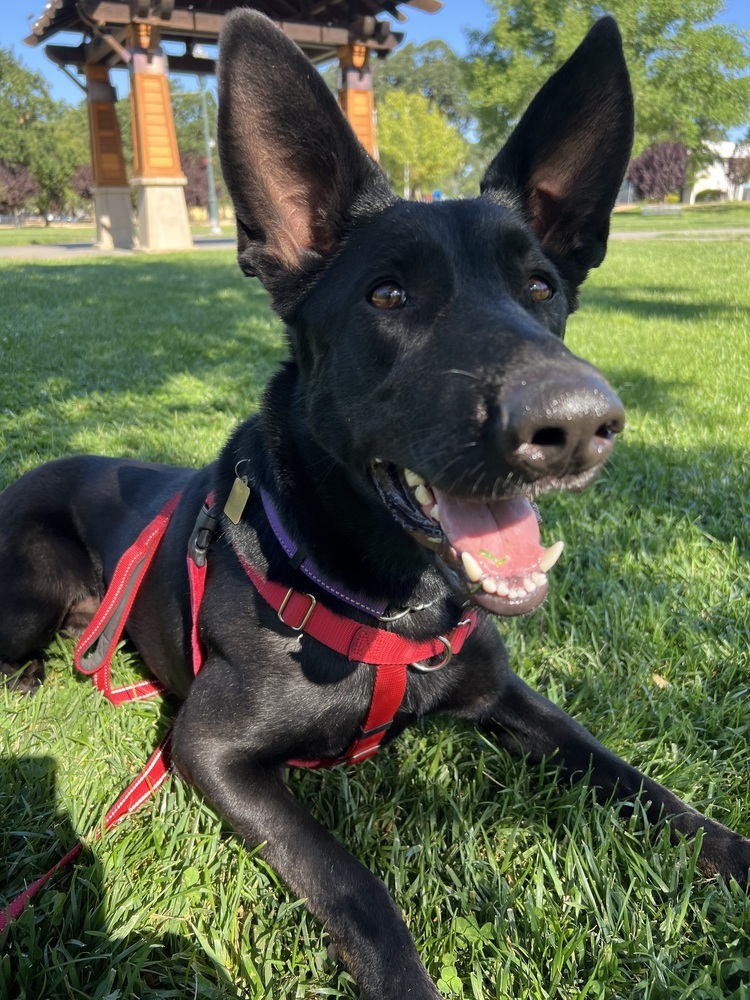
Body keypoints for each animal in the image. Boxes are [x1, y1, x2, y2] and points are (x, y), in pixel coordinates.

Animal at [1, 9, 750, 1000]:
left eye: (542, 288)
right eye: (387, 293)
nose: (579, 425)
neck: (390, 596)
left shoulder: (510, 695)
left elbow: (633, 777)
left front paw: (731, 848)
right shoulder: (210, 748)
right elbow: (356, 885)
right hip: (32, 584)